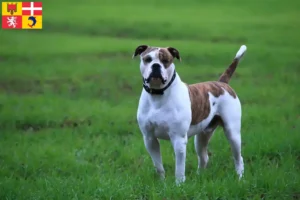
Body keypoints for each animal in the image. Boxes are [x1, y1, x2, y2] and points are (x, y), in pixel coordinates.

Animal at [133, 44, 246, 184]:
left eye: (166, 60)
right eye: (147, 59)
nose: (156, 66)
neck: (158, 95)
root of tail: (222, 83)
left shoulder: (178, 139)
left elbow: (179, 168)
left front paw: (179, 185)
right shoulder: (149, 139)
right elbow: (158, 165)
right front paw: (162, 182)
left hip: (232, 133)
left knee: (238, 158)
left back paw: (240, 179)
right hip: (202, 136)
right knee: (204, 157)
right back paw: (200, 177)